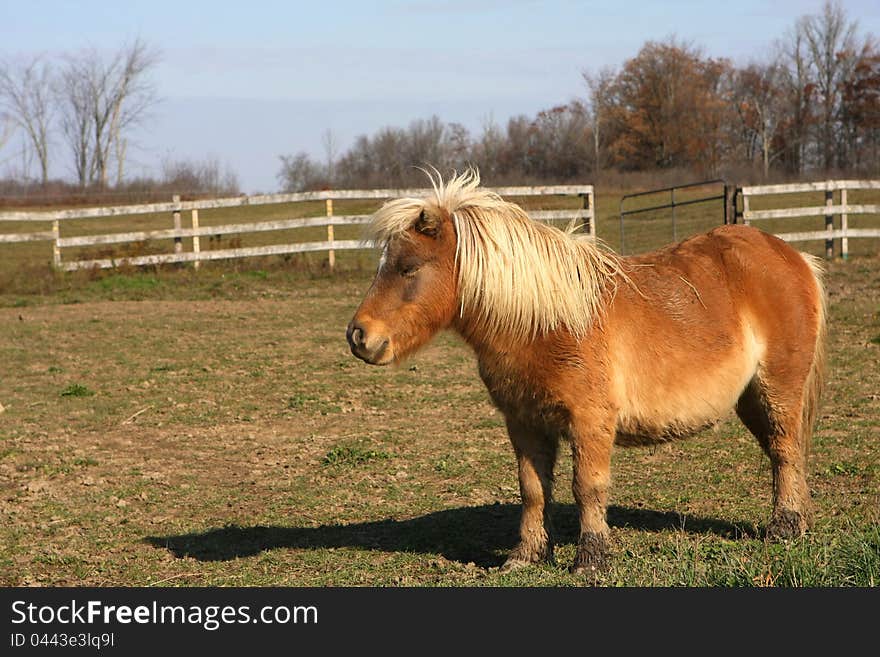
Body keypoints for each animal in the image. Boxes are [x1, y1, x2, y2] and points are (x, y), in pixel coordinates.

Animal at [346, 169, 824, 576]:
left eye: (408, 268)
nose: (358, 336)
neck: (547, 322)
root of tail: (794, 255)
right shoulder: (525, 423)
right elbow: (533, 489)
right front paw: (526, 556)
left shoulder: (591, 422)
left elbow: (587, 487)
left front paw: (591, 559)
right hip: (750, 399)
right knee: (784, 452)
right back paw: (799, 523)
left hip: (777, 389)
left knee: (785, 449)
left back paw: (783, 528)